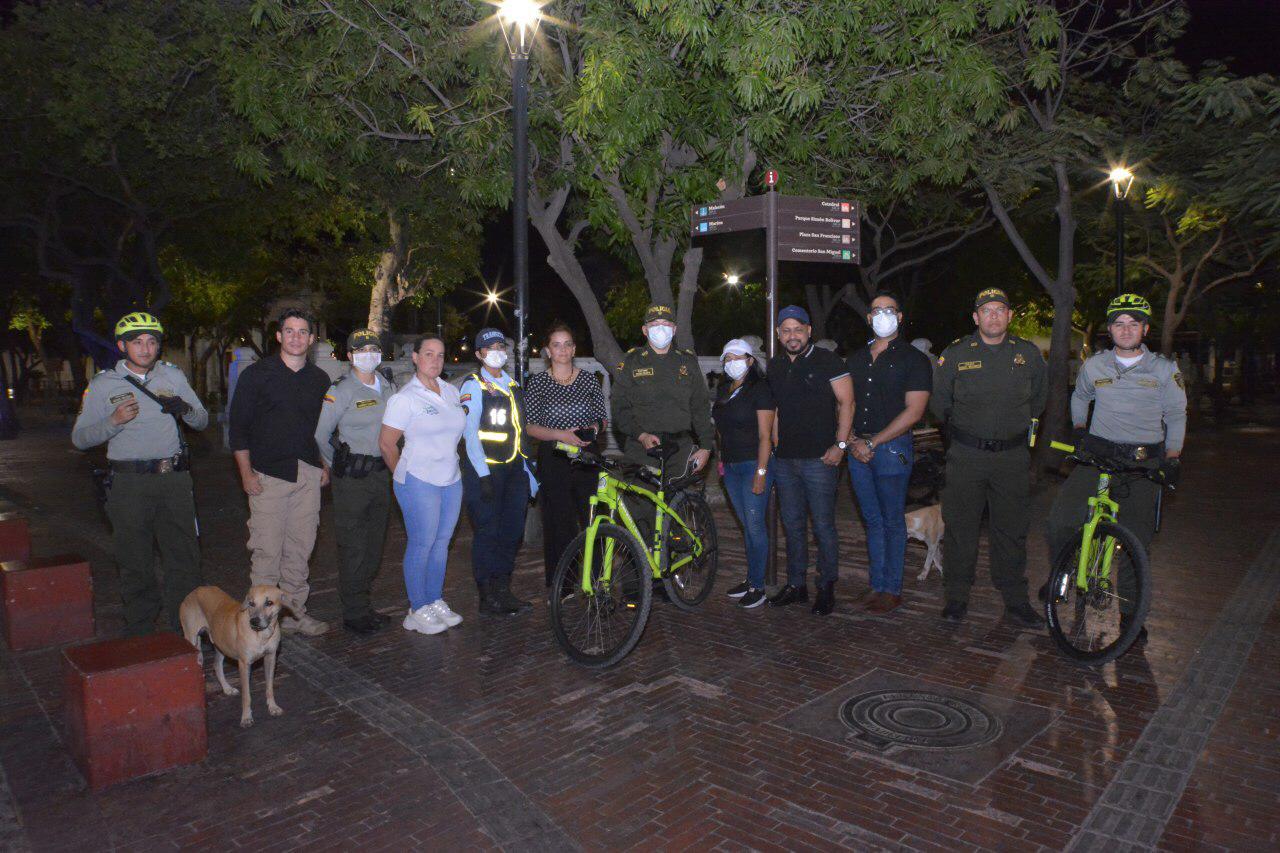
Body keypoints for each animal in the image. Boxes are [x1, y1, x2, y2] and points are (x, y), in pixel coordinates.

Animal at [176, 584, 281, 722]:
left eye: (269, 603)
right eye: (251, 603)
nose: (254, 621)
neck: (261, 635)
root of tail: (194, 591)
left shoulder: (270, 658)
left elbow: (269, 687)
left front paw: (273, 707)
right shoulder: (244, 664)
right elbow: (246, 695)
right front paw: (246, 717)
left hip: (221, 645)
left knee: (216, 666)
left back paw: (227, 689)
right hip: (193, 642)